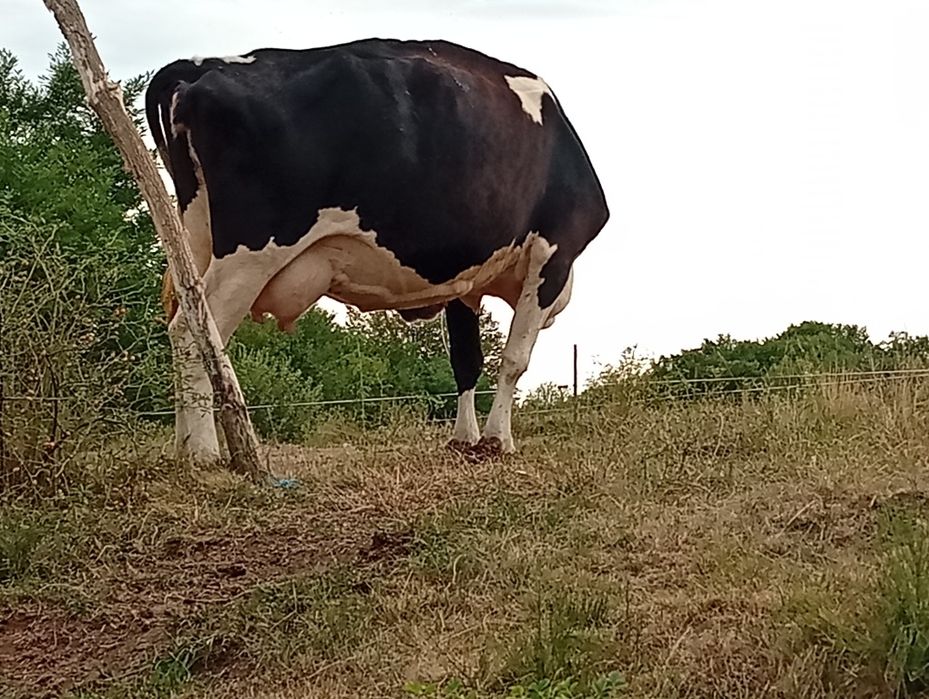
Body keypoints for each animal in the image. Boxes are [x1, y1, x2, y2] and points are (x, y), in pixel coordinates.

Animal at [145, 38, 609, 464]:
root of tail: (203, 65)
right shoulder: (554, 251)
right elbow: (514, 358)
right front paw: (497, 440)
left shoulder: (465, 280)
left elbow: (465, 361)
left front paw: (464, 439)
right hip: (252, 250)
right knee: (194, 332)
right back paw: (204, 452)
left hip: (195, 238)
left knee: (181, 317)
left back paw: (182, 445)